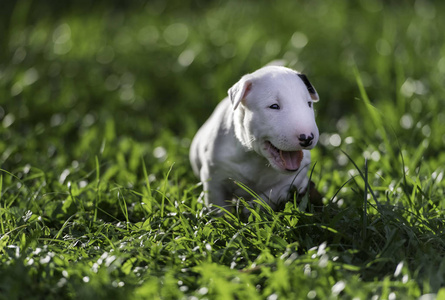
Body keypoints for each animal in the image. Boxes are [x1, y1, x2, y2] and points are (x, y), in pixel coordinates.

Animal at [189, 65, 318, 211]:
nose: (307, 138)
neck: (256, 158)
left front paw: (251, 207)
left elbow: (273, 194)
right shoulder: (213, 175)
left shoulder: (297, 173)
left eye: (309, 103)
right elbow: (218, 205)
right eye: (274, 106)